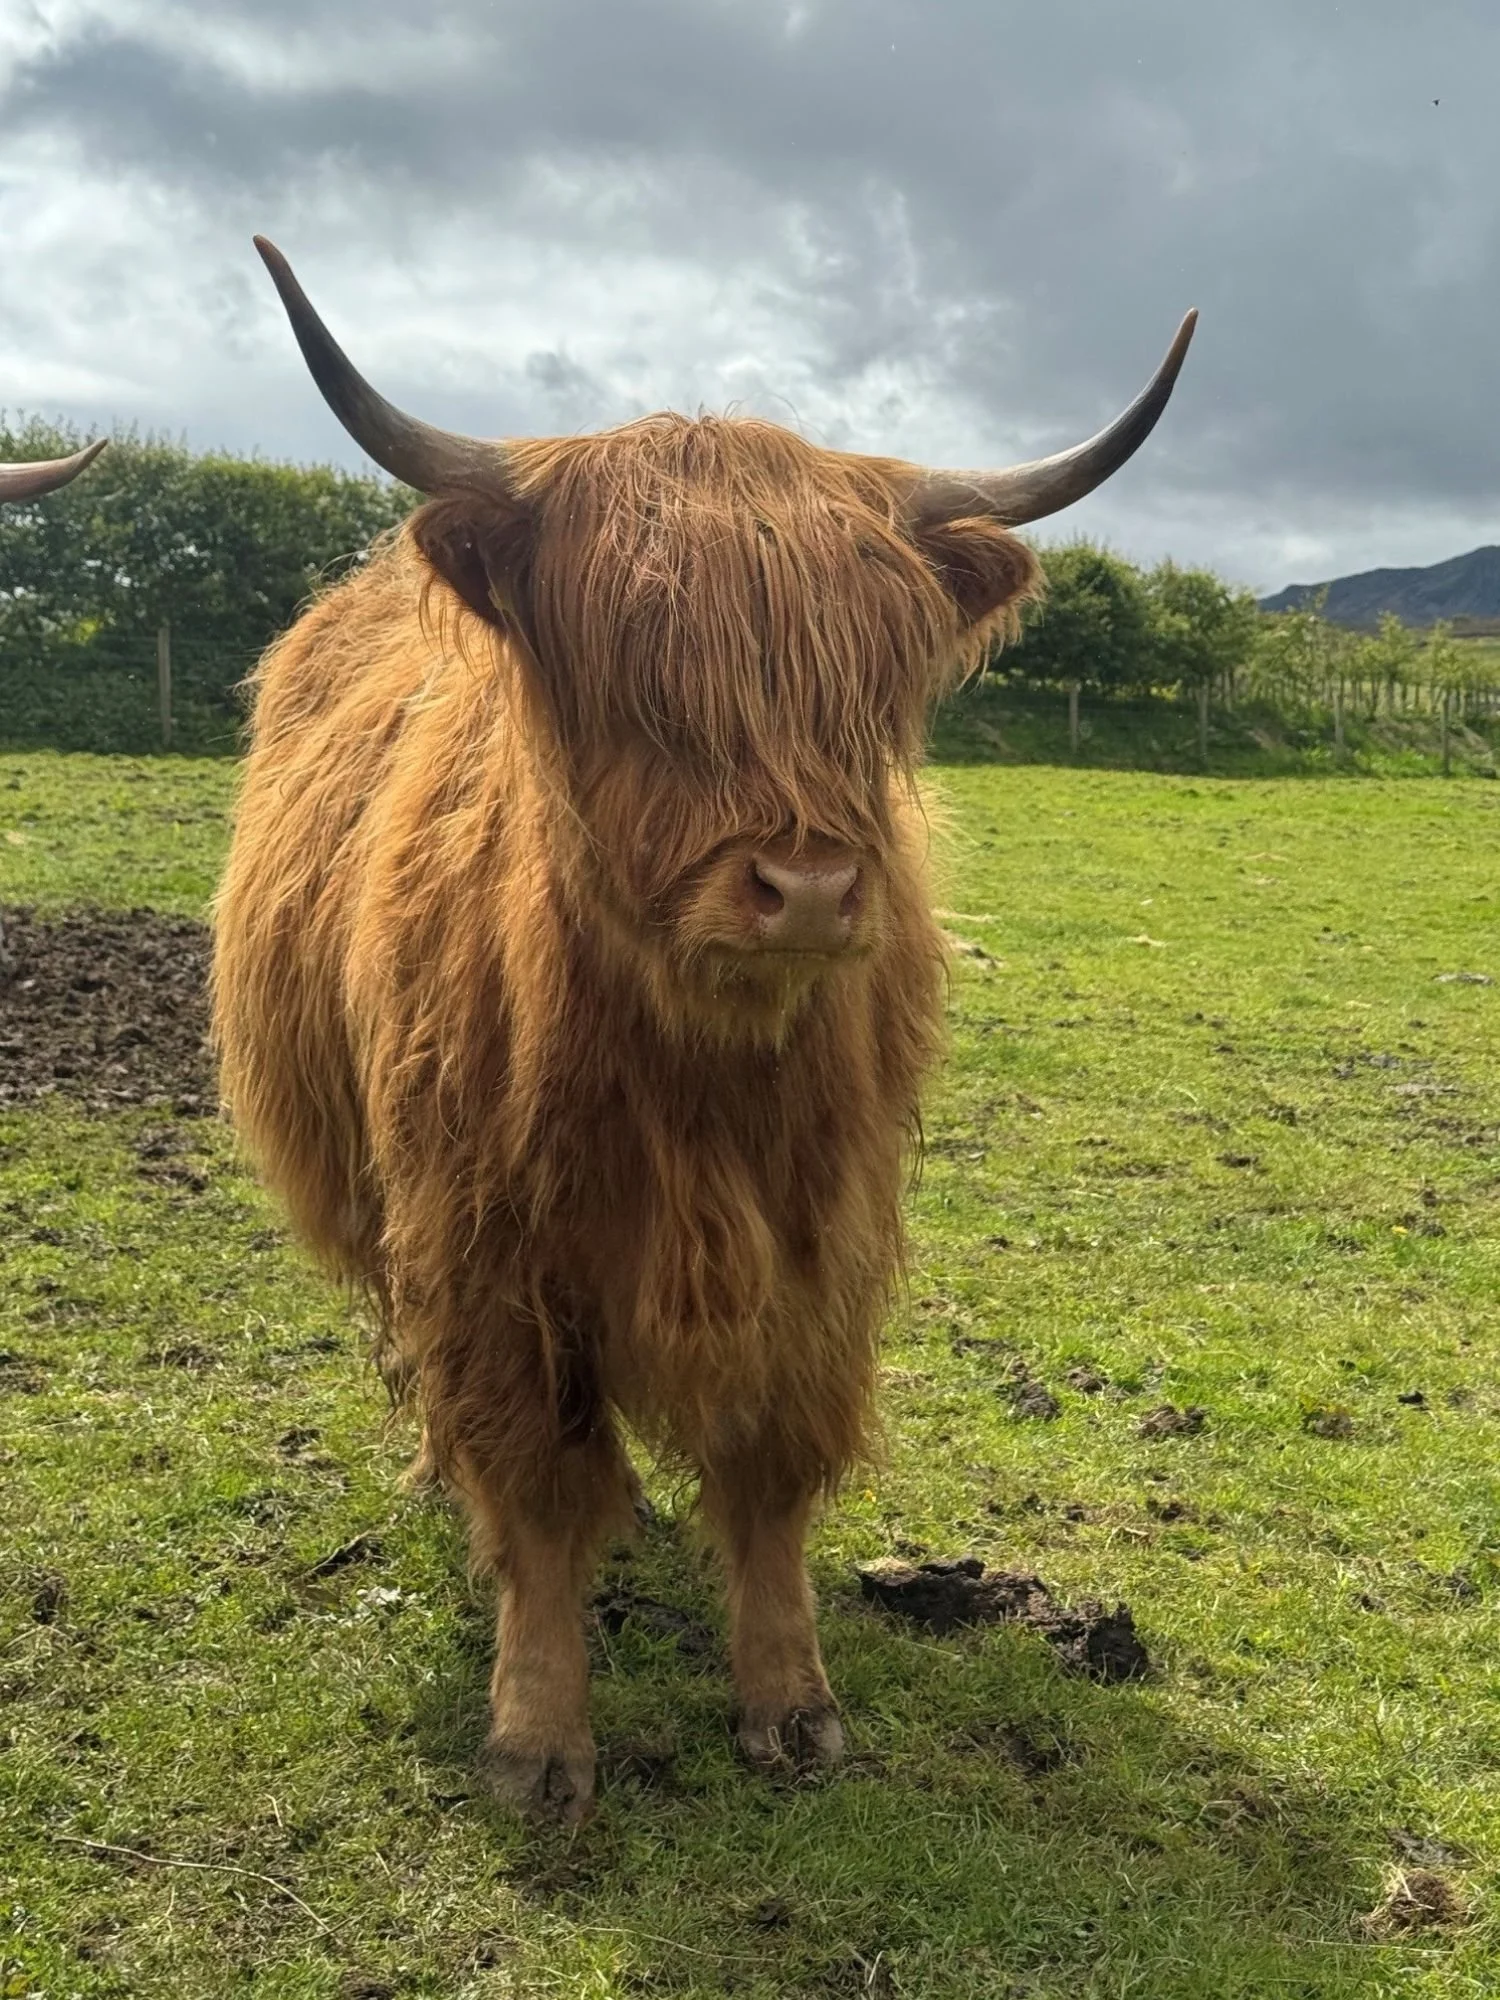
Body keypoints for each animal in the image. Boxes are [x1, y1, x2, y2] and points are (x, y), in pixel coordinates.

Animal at [213, 237, 1195, 1822]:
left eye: (872, 678)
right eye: (637, 672)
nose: (808, 887)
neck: (696, 1078)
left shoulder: (821, 1246)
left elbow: (773, 1477)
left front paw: (791, 1700)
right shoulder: (485, 1251)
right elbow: (534, 1487)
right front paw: (538, 1734)